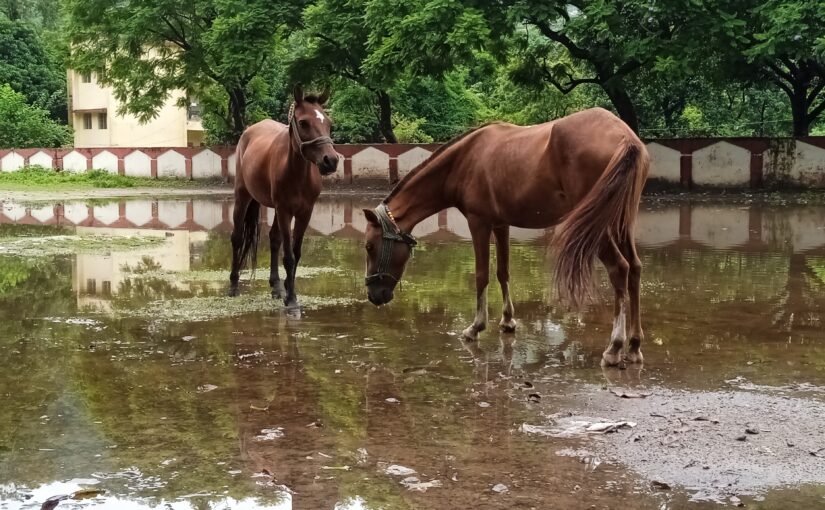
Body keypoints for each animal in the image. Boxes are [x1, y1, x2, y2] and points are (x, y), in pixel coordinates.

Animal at [229, 84, 338, 308]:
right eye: (303, 122)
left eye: (328, 122)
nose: (330, 160)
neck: (297, 172)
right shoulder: (285, 210)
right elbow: (288, 256)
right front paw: (292, 299)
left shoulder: (305, 212)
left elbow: (295, 253)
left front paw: (288, 289)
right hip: (243, 197)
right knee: (237, 237)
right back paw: (233, 285)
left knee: (274, 240)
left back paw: (276, 285)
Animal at [364, 107, 648, 366]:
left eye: (369, 247)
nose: (374, 295)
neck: (463, 161)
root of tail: (625, 138)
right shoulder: (501, 225)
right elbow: (503, 271)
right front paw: (508, 320)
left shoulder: (478, 223)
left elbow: (481, 275)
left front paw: (475, 327)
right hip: (619, 224)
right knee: (634, 269)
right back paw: (634, 346)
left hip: (600, 228)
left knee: (619, 269)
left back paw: (615, 347)